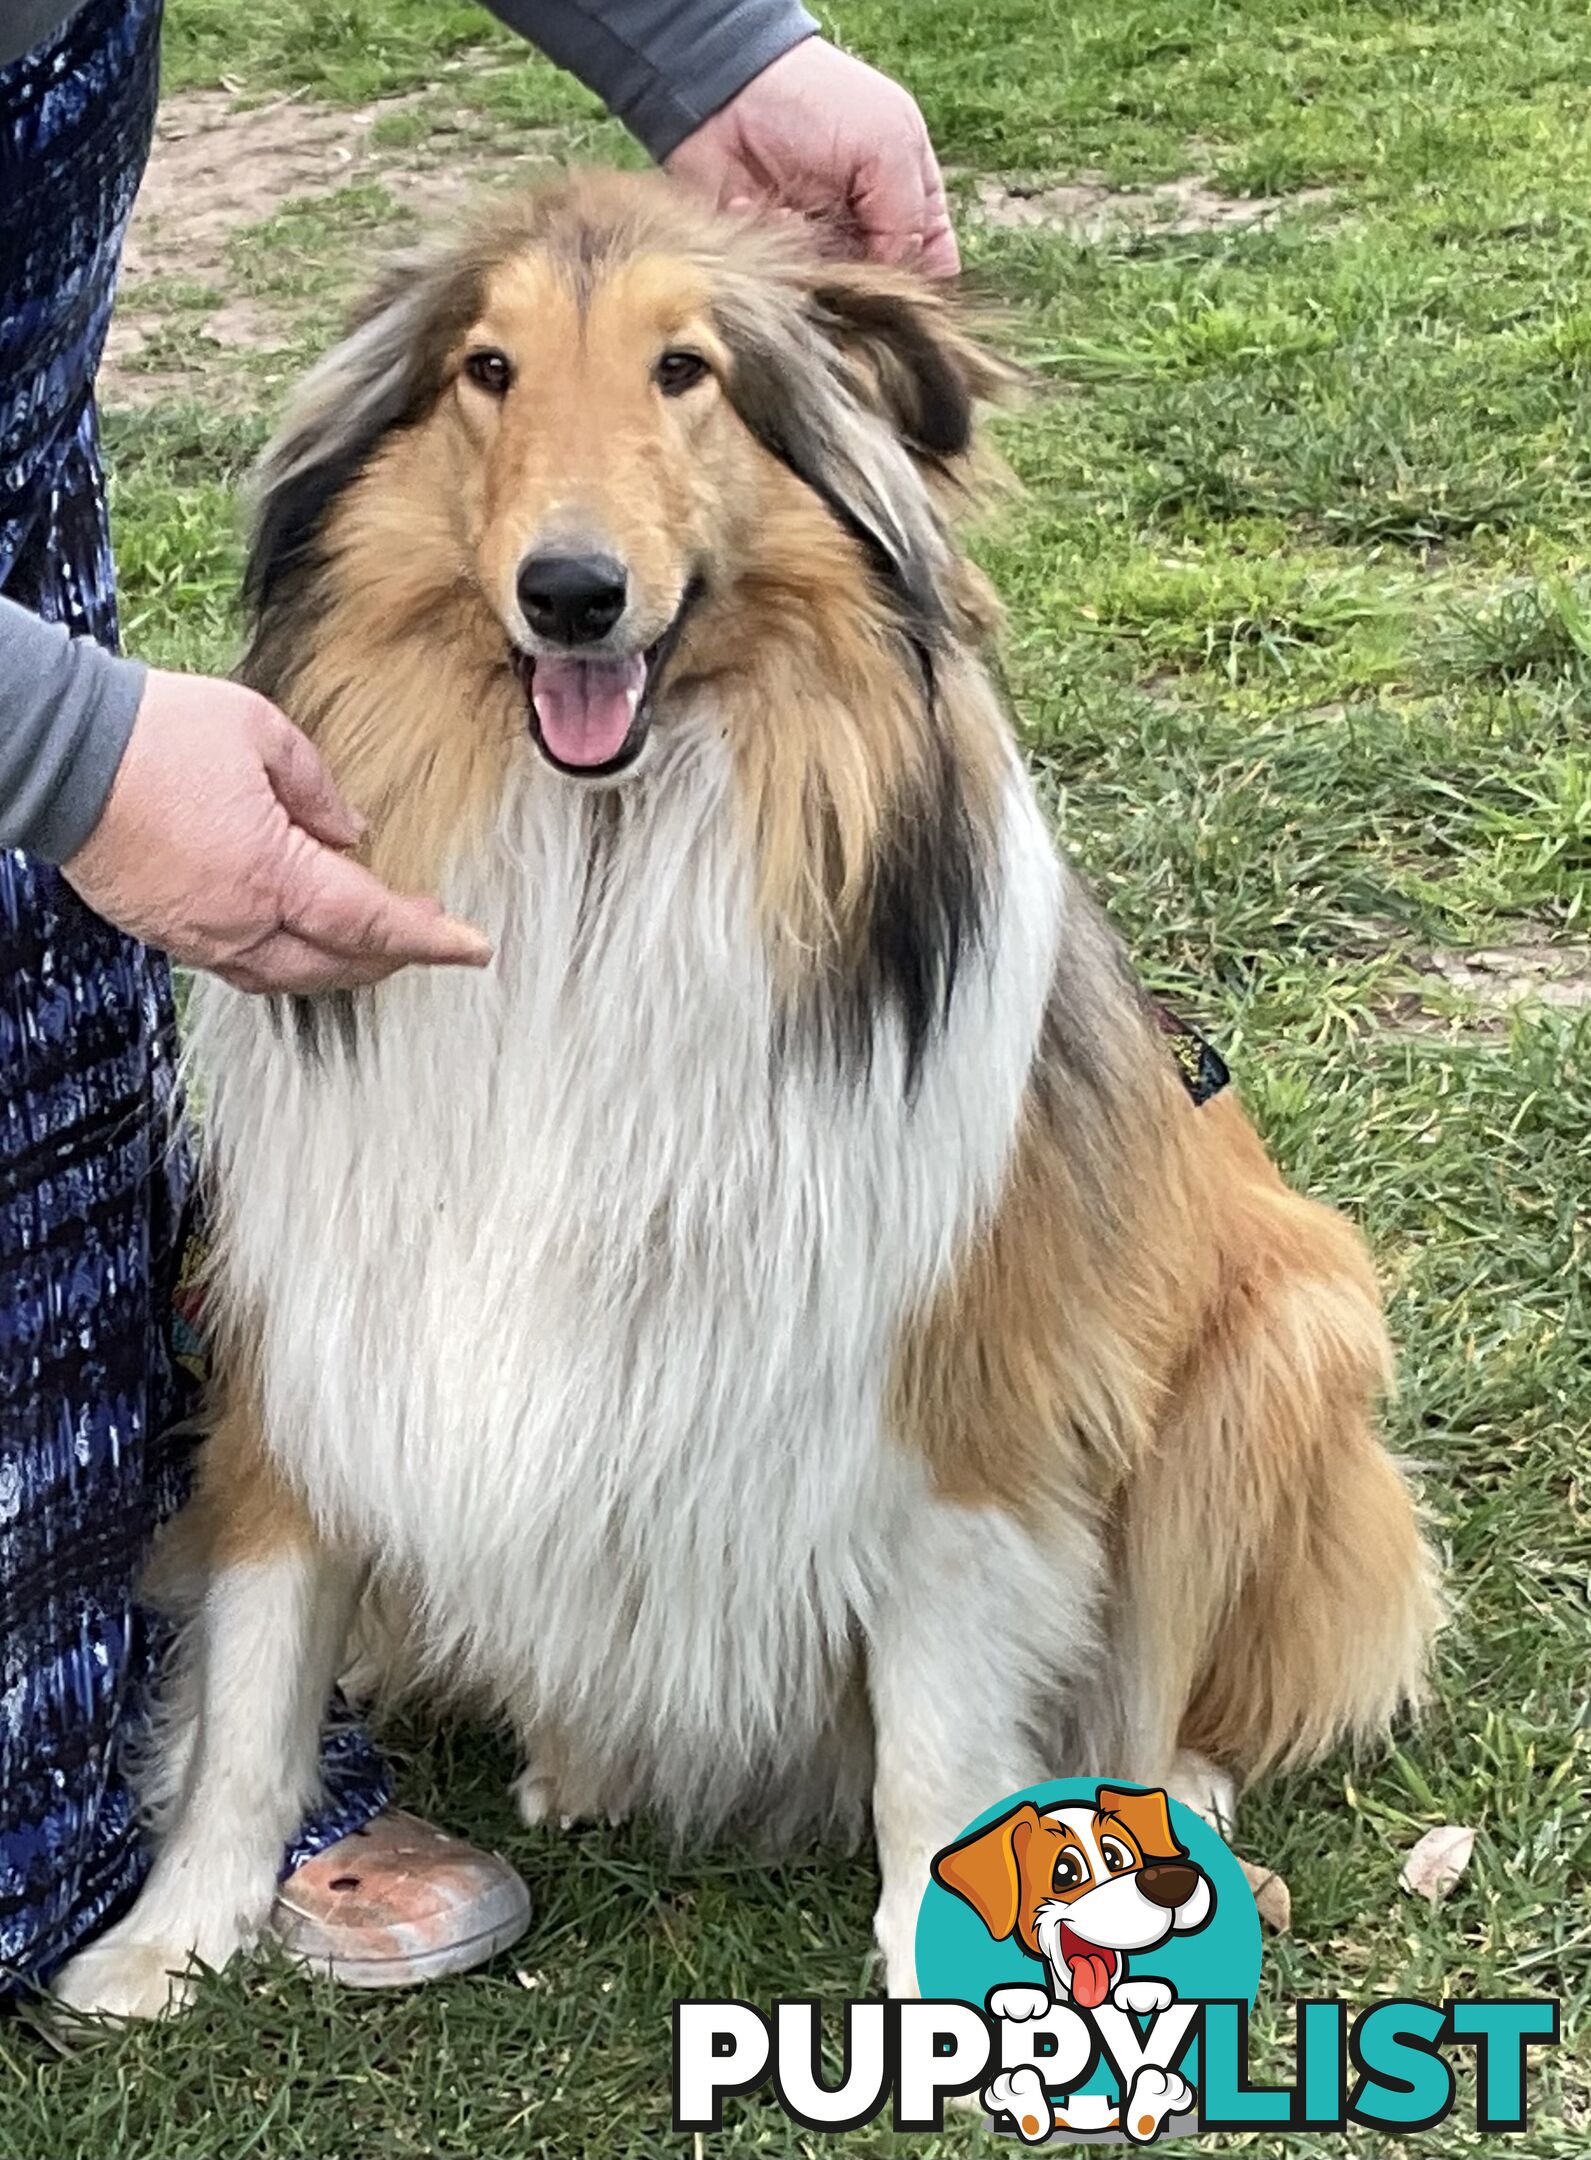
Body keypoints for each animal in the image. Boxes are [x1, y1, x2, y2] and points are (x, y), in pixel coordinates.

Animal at [55, 172, 1433, 2021]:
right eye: (487, 368)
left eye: (684, 370)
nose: (571, 593)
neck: (600, 860)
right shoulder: (313, 1328)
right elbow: (260, 1678)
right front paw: (173, 1932)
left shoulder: (951, 1412)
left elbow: (936, 1738)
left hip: (1284, 1338)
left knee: (1172, 1683)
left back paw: (1172, 1803)